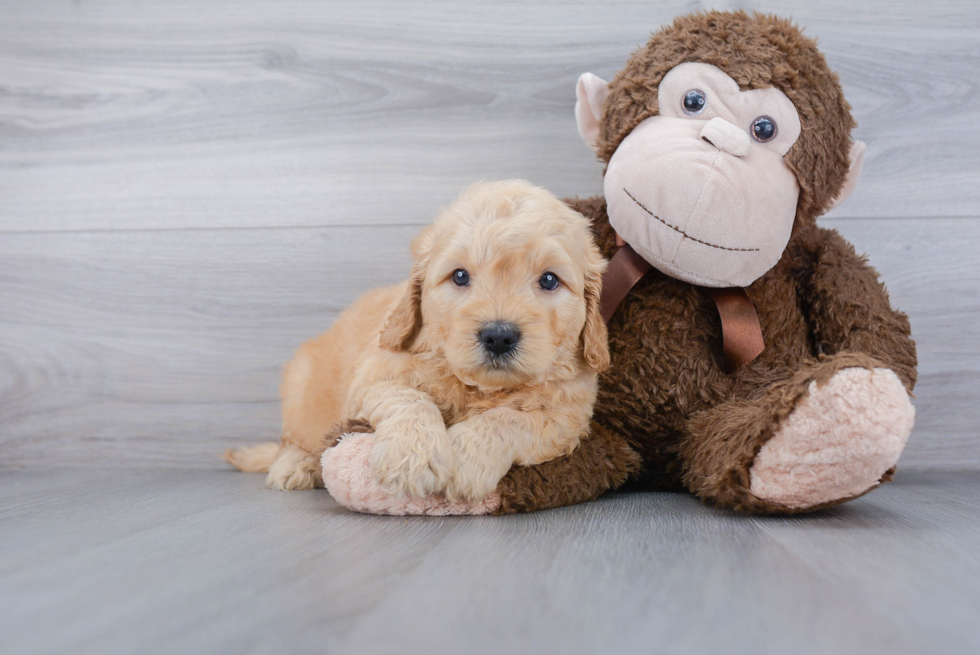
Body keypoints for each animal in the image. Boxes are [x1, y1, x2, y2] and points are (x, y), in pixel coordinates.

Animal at [226, 181, 608, 502]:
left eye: (549, 280)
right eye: (459, 276)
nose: (498, 336)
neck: (478, 389)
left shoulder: (566, 418)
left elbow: (508, 419)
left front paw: (466, 458)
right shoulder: (371, 381)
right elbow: (409, 397)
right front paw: (412, 458)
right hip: (300, 388)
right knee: (292, 441)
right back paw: (295, 465)